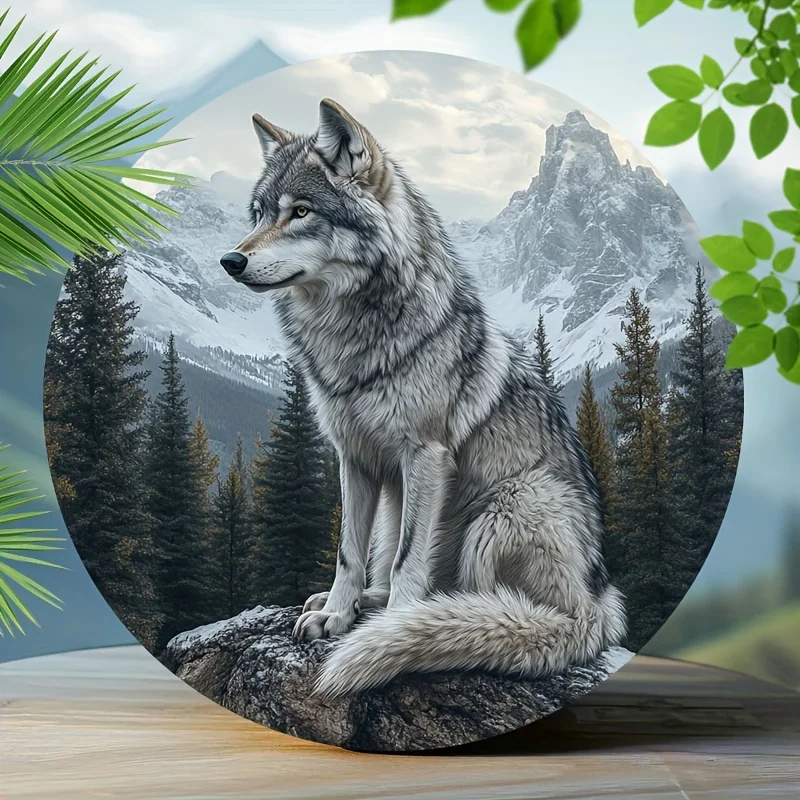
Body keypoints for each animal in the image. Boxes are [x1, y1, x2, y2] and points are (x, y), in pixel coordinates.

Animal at [219, 98, 627, 697]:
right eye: (259, 214)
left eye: (301, 212)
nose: (230, 260)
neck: (354, 337)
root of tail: (599, 609)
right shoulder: (354, 457)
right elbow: (348, 553)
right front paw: (336, 613)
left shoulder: (425, 456)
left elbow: (407, 559)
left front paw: (392, 627)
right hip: (408, 504)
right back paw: (364, 604)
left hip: (508, 505)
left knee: (494, 604)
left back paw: (438, 620)